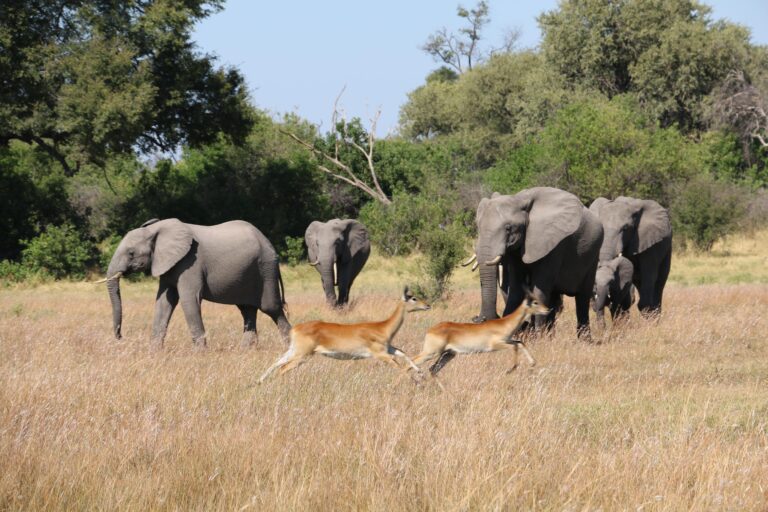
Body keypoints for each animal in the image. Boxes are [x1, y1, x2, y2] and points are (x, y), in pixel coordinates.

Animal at [103, 218, 290, 346]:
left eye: (131, 253)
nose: (120, 337)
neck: (156, 229)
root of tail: (268, 242)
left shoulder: (190, 263)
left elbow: (189, 300)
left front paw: (200, 353)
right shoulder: (168, 265)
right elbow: (164, 302)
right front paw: (154, 353)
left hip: (266, 269)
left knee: (271, 308)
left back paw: (289, 349)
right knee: (247, 310)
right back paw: (245, 351)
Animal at [256, 284, 426, 384]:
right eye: (413, 298)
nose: (427, 305)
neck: (383, 327)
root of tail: (294, 329)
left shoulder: (388, 348)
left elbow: (403, 353)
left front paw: (420, 372)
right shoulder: (380, 354)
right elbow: (398, 364)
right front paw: (417, 381)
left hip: (294, 350)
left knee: (277, 362)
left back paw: (260, 381)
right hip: (302, 355)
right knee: (283, 368)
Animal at [412, 294, 548, 378]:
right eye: (535, 302)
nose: (548, 309)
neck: (504, 323)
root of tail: (430, 330)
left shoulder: (508, 341)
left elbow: (520, 343)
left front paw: (532, 363)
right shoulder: (495, 345)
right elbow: (515, 346)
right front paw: (511, 369)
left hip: (448, 354)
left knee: (432, 369)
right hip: (431, 353)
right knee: (412, 362)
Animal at [468, 186, 608, 338]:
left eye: (508, 228)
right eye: (477, 227)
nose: (479, 319)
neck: (519, 199)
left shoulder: (553, 244)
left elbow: (539, 290)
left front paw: (538, 338)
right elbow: (516, 289)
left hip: (593, 254)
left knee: (582, 298)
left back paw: (584, 340)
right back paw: (550, 336)